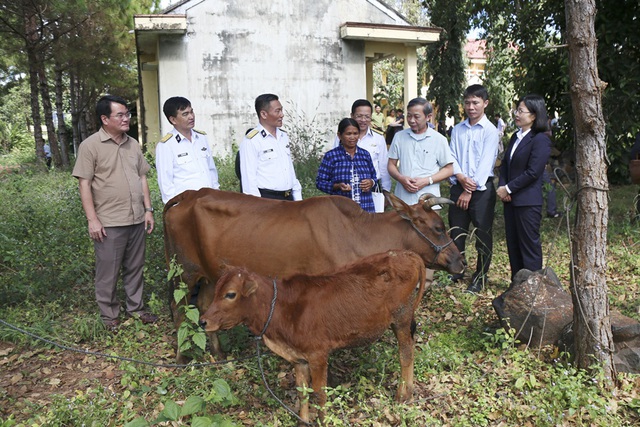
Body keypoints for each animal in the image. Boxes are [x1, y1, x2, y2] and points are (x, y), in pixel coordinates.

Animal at [164, 189, 464, 362]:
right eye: (438, 227)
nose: (461, 261)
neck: (359, 232)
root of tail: (189, 194)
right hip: (183, 272)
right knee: (178, 308)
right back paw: (181, 358)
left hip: (210, 276)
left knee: (204, 306)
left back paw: (218, 353)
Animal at [200, 251, 428, 424]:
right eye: (216, 289)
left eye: (230, 294)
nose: (203, 321)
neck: (282, 309)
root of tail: (407, 254)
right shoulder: (299, 358)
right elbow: (302, 391)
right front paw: (303, 421)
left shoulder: (318, 355)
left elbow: (320, 393)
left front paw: (321, 421)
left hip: (401, 317)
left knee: (406, 354)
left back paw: (403, 396)